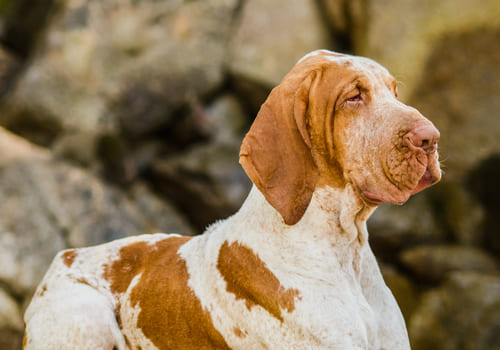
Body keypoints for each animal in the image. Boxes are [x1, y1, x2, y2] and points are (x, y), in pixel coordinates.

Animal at [25, 50, 442, 350]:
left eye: (394, 92)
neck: (343, 253)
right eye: (354, 96)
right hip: (85, 315)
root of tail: (62, 259)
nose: (430, 137)